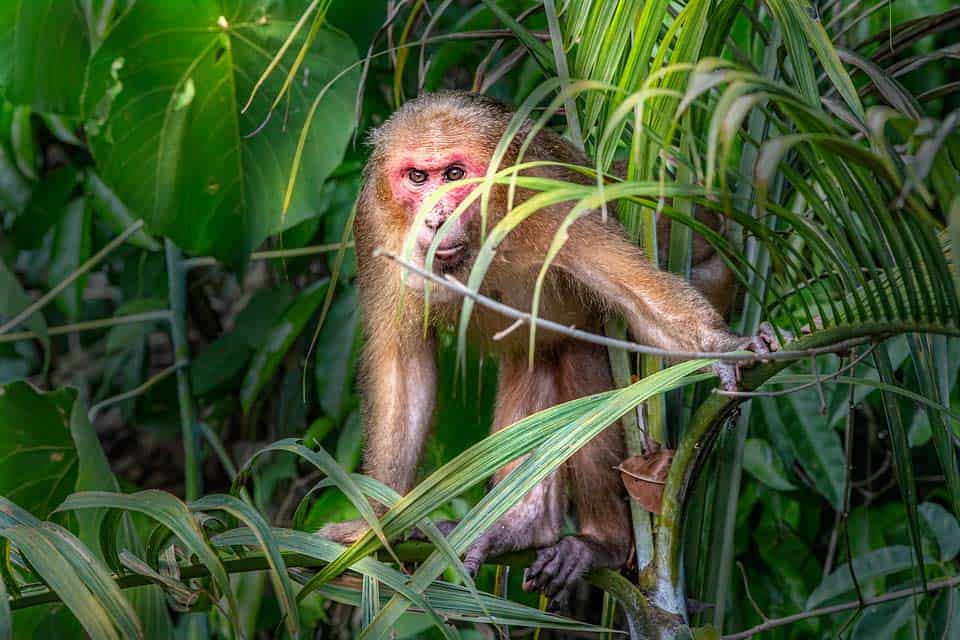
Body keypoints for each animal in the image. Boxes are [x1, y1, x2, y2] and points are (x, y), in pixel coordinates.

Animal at [322, 90, 772, 604]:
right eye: (418, 178)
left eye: (454, 175)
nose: (435, 216)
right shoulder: (374, 221)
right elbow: (403, 368)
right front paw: (376, 525)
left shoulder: (551, 200)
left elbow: (639, 298)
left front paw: (724, 347)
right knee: (538, 357)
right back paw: (525, 526)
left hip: (715, 274)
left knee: (590, 362)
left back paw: (603, 544)